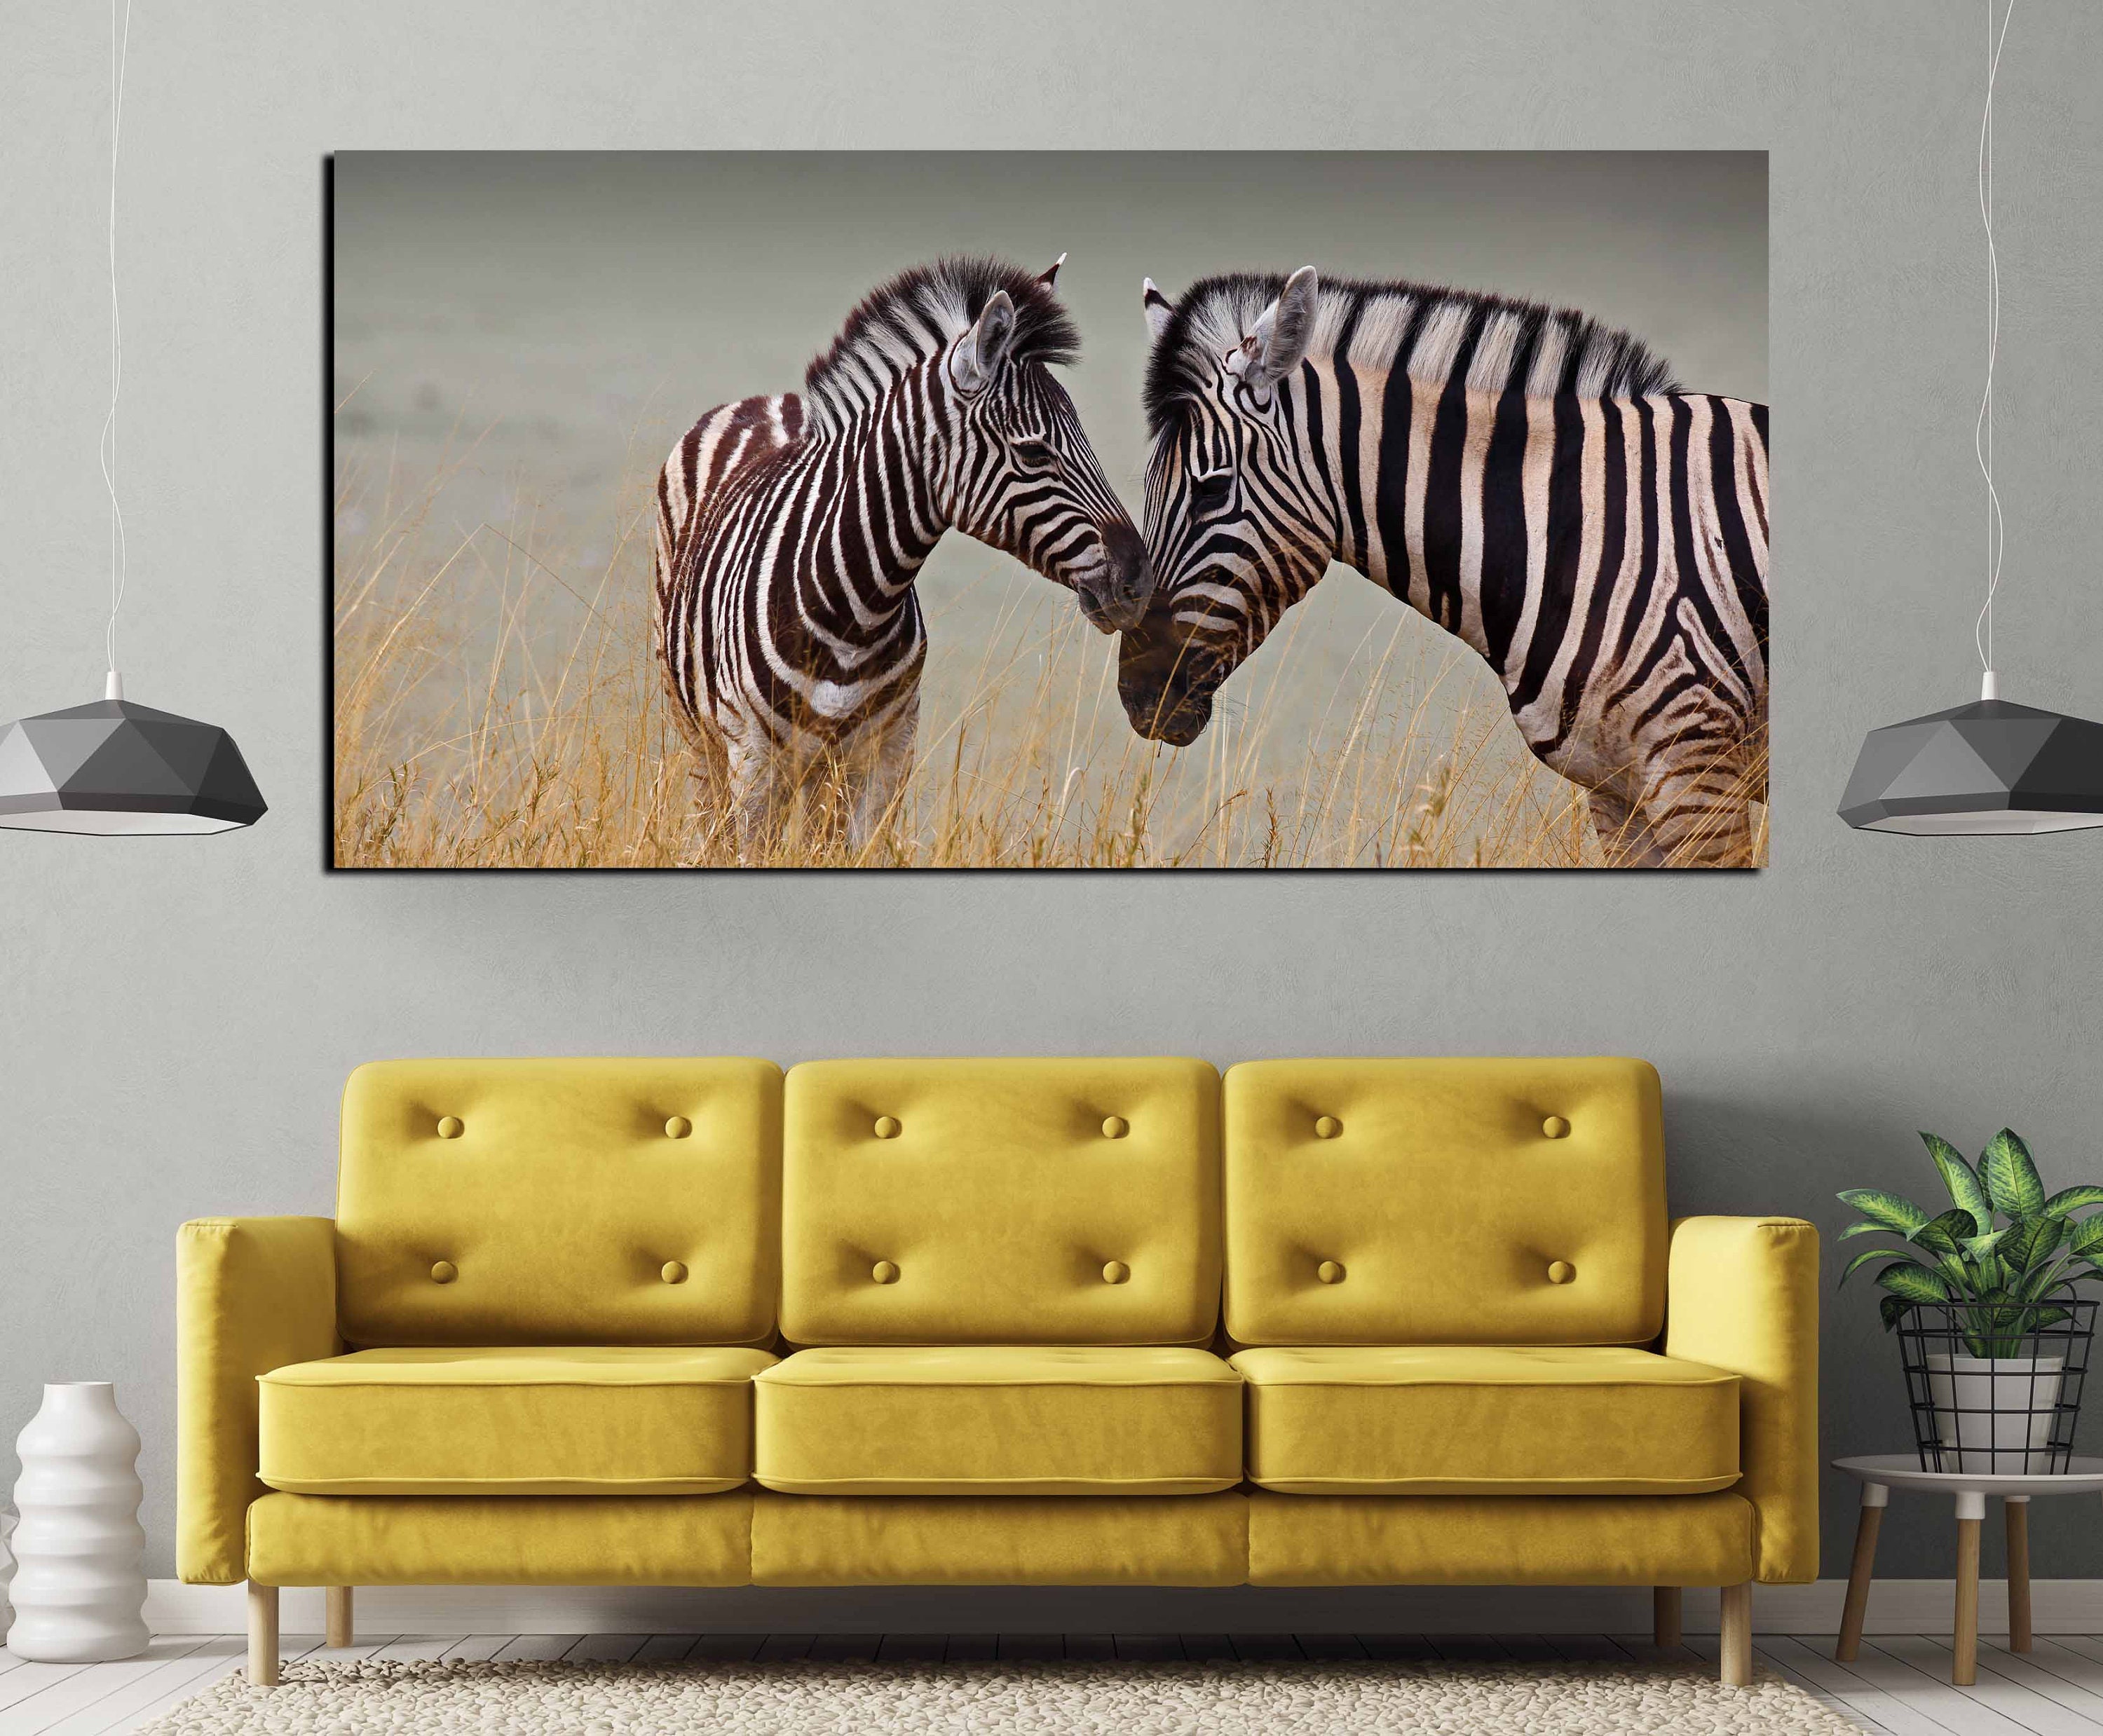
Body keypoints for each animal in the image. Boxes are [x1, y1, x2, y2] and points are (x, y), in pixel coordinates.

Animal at [652, 255, 1148, 857]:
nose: (1139, 580)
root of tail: (767, 400)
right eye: (1033, 452)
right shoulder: (753, 755)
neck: (853, 607)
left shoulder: (889, 750)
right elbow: (751, 850)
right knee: (711, 824)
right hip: (699, 734)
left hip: (820, 769)